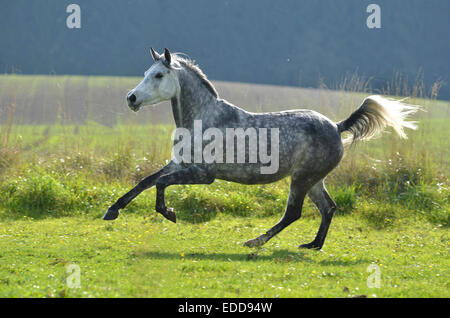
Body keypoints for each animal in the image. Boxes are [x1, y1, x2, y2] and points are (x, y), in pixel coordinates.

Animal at [103, 48, 420, 250]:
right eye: (146, 72)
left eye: (158, 75)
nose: (131, 98)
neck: (204, 118)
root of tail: (337, 126)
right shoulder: (180, 164)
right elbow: (146, 181)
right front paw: (112, 211)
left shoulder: (204, 174)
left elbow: (160, 184)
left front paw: (169, 212)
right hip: (314, 180)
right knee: (328, 208)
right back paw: (313, 245)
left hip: (302, 179)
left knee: (294, 213)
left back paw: (255, 241)